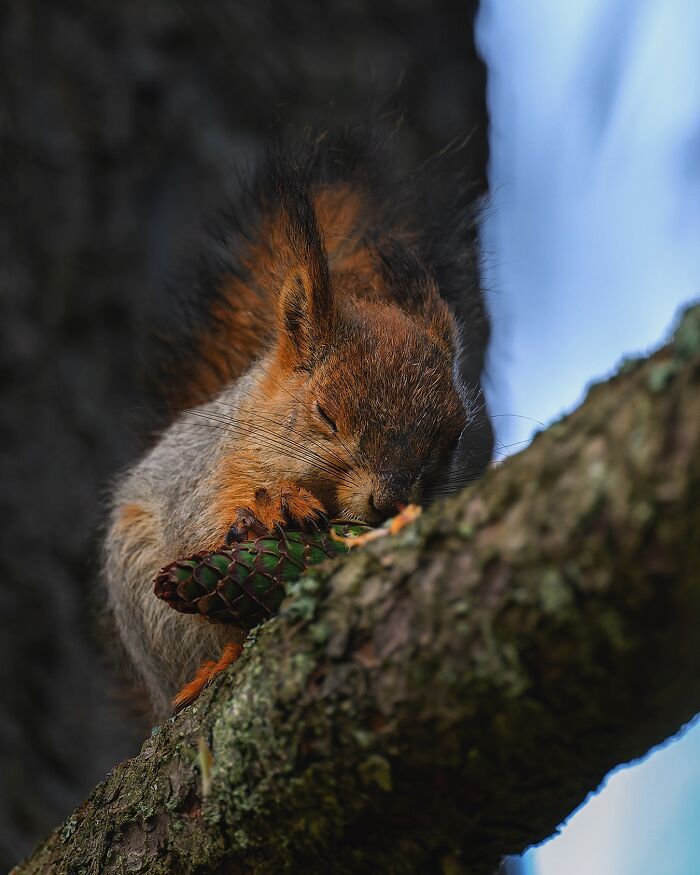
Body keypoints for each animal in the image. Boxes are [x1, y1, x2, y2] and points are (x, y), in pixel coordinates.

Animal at [103, 128, 494, 721]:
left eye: (450, 440)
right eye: (325, 414)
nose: (388, 501)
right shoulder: (210, 476)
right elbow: (199, 530)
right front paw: (273, 508)